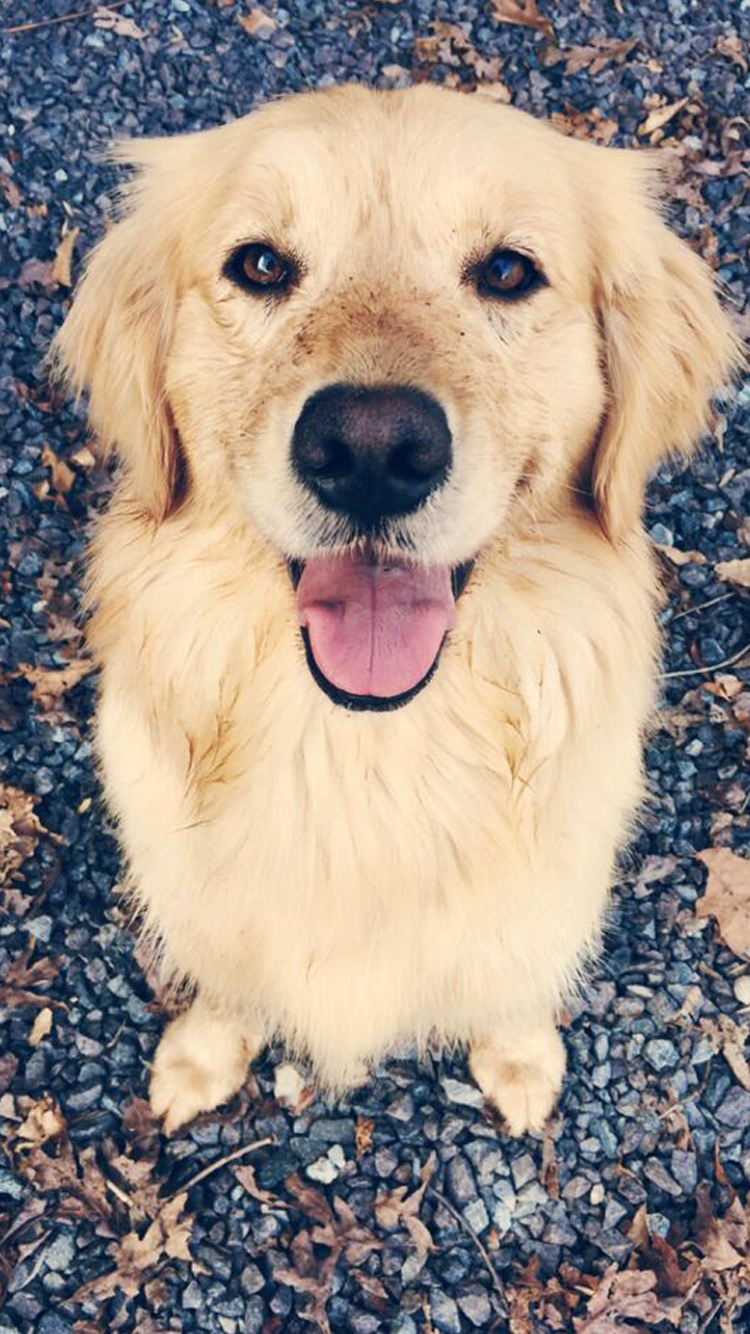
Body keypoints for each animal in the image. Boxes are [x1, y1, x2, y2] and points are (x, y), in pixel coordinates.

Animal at [54, 83, 736, 1136]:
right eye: (259, 264)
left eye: (507, 270)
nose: (372, 449)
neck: (367, 747)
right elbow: (230, 977)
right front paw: (203, 1056)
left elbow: (510, 976)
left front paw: (520, 1058)